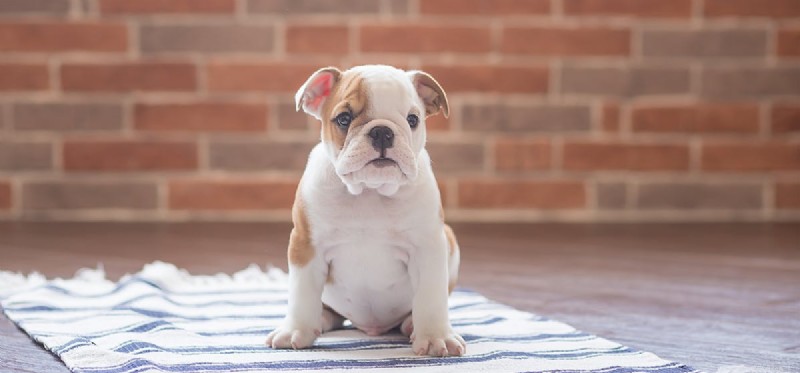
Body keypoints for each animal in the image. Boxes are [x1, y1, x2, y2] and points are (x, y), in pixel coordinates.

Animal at [266, 64, 462, 354]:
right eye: (343, 119)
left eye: (413, 119)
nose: (382, 131)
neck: (370, 191)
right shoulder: (306, 245)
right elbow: (301, 294)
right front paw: (295, 331)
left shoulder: (429, 246)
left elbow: (431, 297)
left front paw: (436, 337)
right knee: (330, 312)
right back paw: (320, 319)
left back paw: (411, 325)